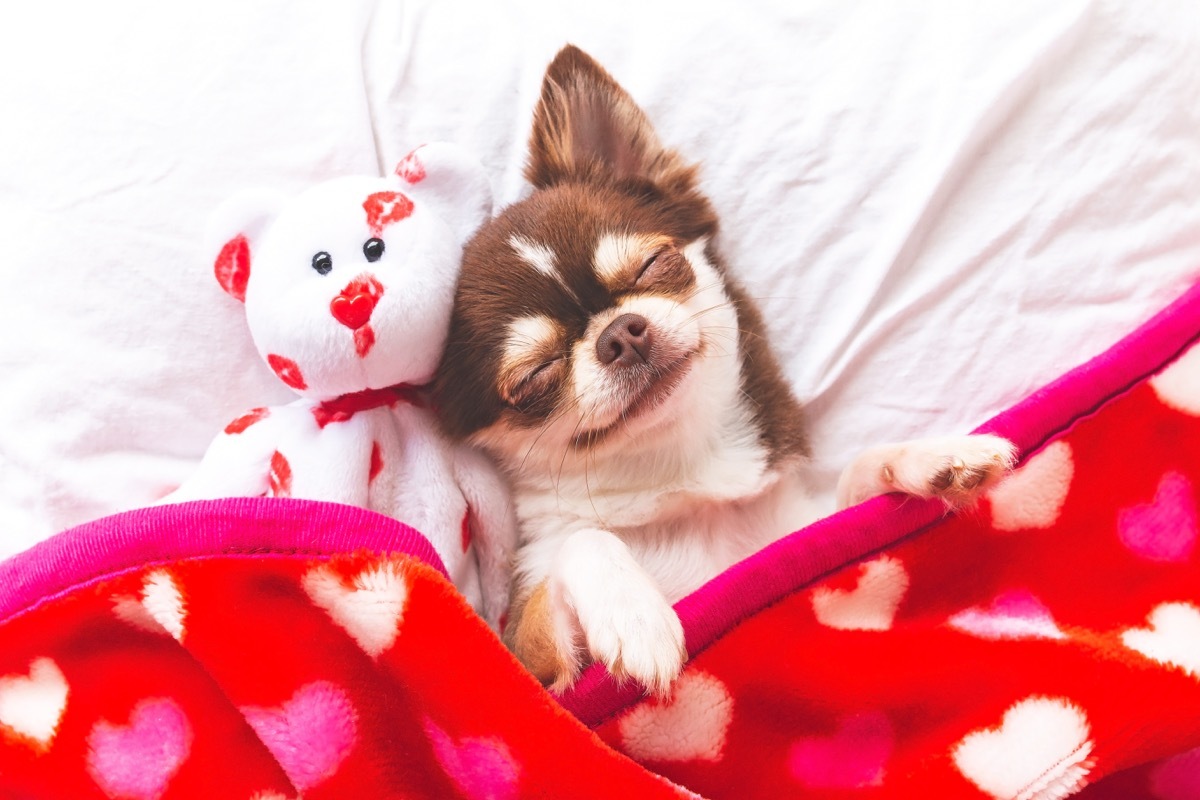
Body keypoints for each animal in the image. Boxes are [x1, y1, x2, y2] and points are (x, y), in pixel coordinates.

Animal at [432, 47, 1012, 695]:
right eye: (536, 376)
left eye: (654, 264)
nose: (619, 334)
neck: (687, 477)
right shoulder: (538, 670)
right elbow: (582, 541)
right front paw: (635, 614)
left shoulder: (799, 536)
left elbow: (852, 484)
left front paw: (932, 455)